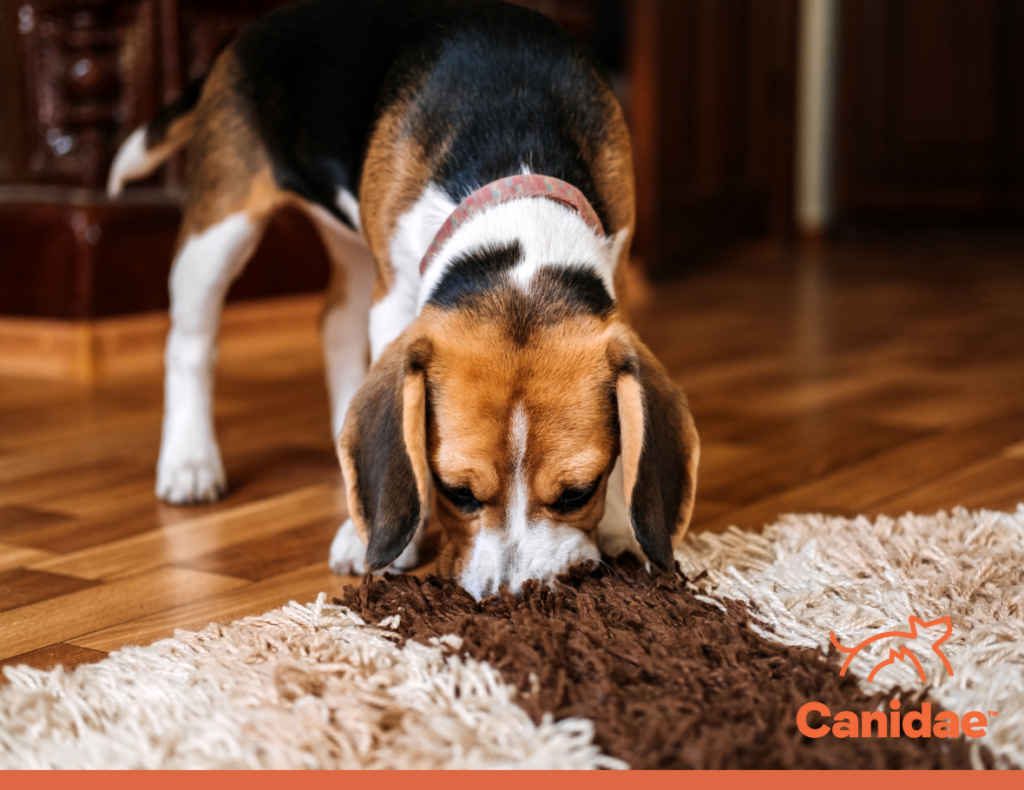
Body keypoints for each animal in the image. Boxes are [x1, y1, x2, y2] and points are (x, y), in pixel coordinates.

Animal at [108, 0, 700, 598]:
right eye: (456, 492)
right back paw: (189, 462)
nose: (508, 598)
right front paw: (380, 539)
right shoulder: (394, 299)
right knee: (190, 344)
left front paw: (622, 524)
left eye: (578, 493)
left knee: (333, 322)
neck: (517, 173)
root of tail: (254, 28)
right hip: (219, 230)